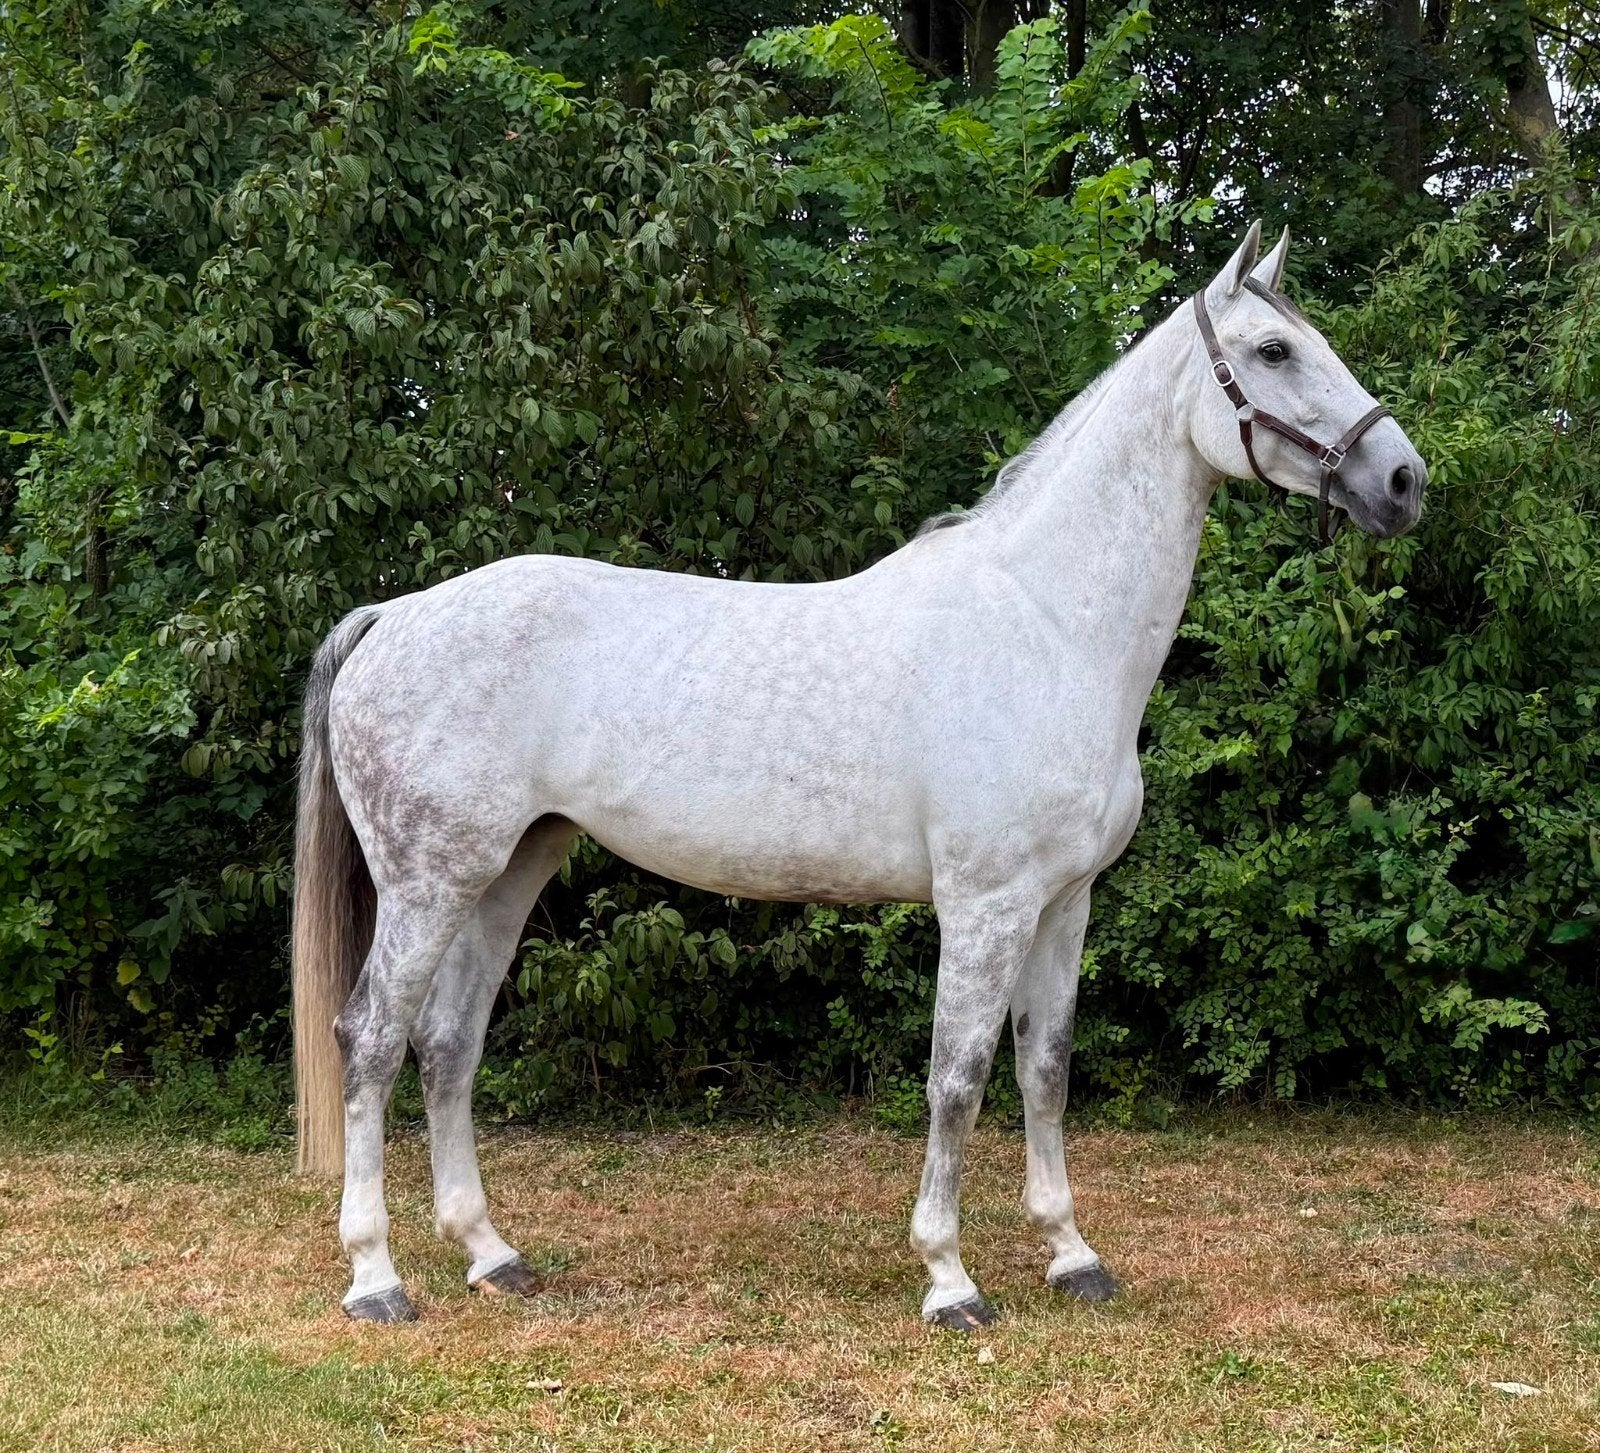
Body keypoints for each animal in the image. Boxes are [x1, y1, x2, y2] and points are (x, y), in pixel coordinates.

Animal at [291, 222, 1426, 1329]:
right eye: (1273, 351)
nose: (1404, 482)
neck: (1046, 625)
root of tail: (394, 614)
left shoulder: (1064, 903)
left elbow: (1045, 1068)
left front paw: (1071, 1255)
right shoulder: (985, 904)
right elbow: (958, 1078)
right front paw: (949, 1278)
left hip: (508, 870)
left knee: (449, 1042)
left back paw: (491, 1255)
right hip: (429, 880)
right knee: (373, 1037)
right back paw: (377, 1277)